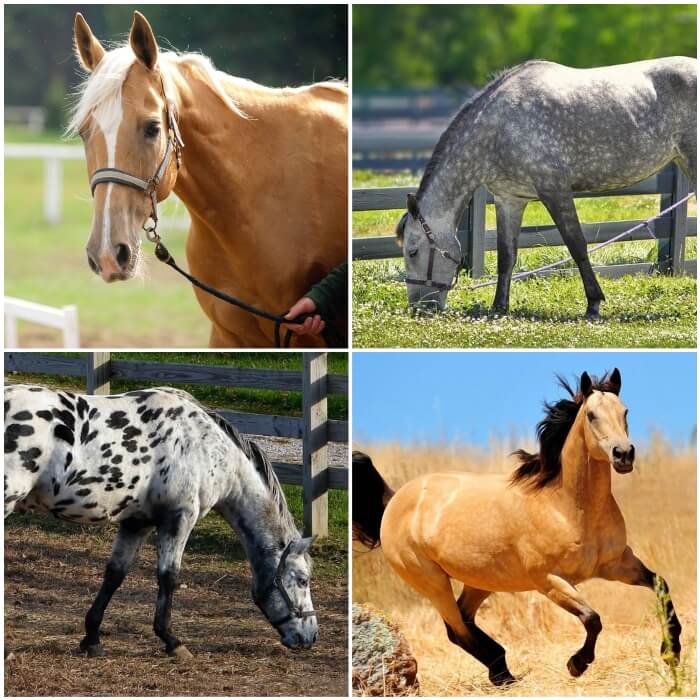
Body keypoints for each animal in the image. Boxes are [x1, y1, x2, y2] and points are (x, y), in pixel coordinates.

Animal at [4, 386, 318, 660]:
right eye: (302, 580)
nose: (310, 636)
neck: (204, 446)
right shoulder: (179, 518)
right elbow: (169, 577)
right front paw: (172, 642)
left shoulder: (136, 523)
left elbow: (114, 574)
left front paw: (92, 639)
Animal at [352, 370, 680, 688]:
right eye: (591, 415)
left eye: (625, 411)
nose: (623, 454)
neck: (569, 509)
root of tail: (395, 502)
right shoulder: (549, 580)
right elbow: (592, 618)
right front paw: (576, 664)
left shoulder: (617, 564)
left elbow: (661, 585)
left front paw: (671, 654)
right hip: (431, 581)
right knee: (456, 629)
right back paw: (503, 675)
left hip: (480, 579)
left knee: (464, 619)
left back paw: (502, 672)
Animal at [396, 58, 696, 318]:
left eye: (412, 251)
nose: (419, 307)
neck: (501, 127)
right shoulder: (510, 199)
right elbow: (506, 255)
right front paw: (499, 307)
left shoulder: (554, 189)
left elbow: (576, 245)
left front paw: (593, 304)